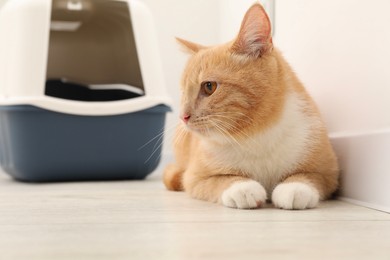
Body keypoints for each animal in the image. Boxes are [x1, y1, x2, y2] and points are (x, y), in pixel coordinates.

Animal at [162, 3, 338, 209]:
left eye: (209, 86)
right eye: (183, 92)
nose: (183, 116)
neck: (255, 134)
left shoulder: (328, 172)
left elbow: (309, 176)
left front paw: (295, 187)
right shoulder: (194, 178)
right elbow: (219, 180)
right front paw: (242, 188)